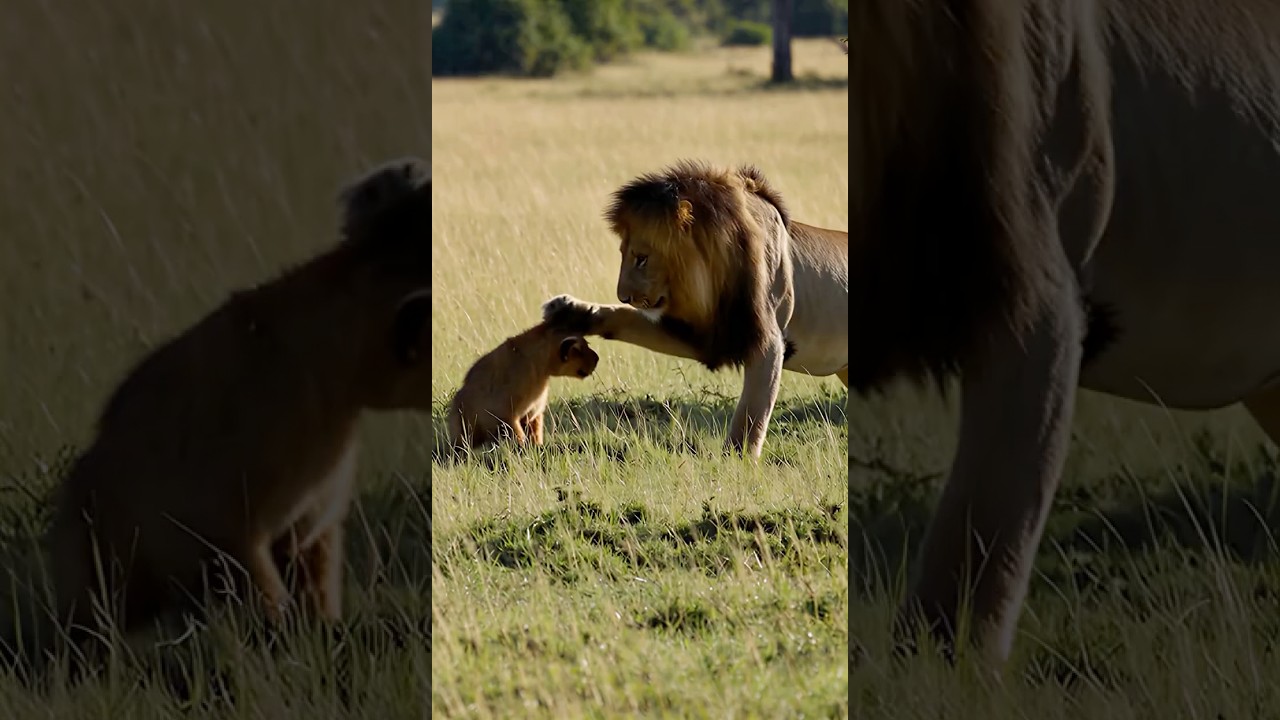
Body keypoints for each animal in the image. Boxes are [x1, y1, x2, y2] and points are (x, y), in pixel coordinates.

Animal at [447, 323, 599, 452]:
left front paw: (536, 447)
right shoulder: (504, 412)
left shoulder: (534, 412)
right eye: (579, 349)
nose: (597, 358)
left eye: (587, 343)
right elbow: (516, 434)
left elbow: (534, 432)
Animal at [542, 160, 849, 459]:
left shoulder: (769, 343)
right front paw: (569, 311)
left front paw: (735, 461)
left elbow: (750, 415)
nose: (624, 295)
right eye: (622, 254)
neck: (712, 279)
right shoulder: (703, 335)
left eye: (641, 258)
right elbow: (626, 319)